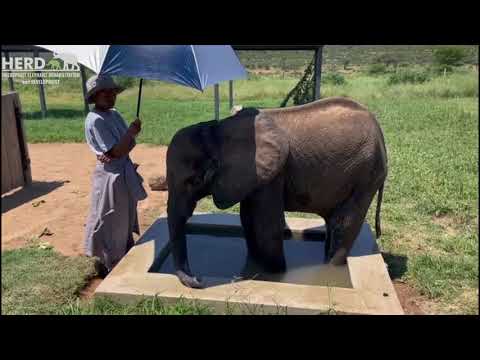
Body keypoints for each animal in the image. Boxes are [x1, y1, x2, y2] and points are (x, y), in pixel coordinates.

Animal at [167, 97, 388, 288]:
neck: (217, 130)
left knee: (345, 223)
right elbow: (247, 219)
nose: (199, 280)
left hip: (366, 174)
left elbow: (266, 226)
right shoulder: (252, 176)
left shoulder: (271, 173)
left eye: (194, 181)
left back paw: (330, 266)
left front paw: (276, 275)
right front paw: (256, 266)